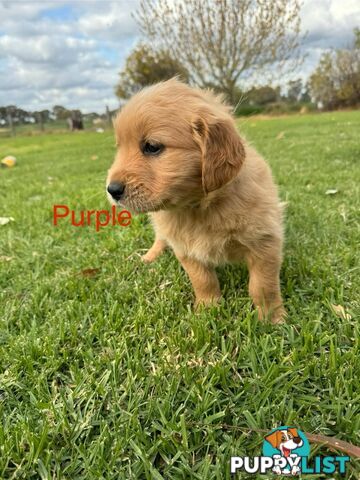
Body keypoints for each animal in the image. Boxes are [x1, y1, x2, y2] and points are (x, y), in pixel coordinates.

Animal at [105, 79, 286, 324]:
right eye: (120, 148)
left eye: (152, 146)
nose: (112, 190)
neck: (199, 207)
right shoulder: (185, 249)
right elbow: (203, 280)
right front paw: (208, 310)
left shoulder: (265, 242)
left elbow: (263, 286)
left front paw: (272, 318)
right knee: (160, 238)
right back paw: (149, 256)